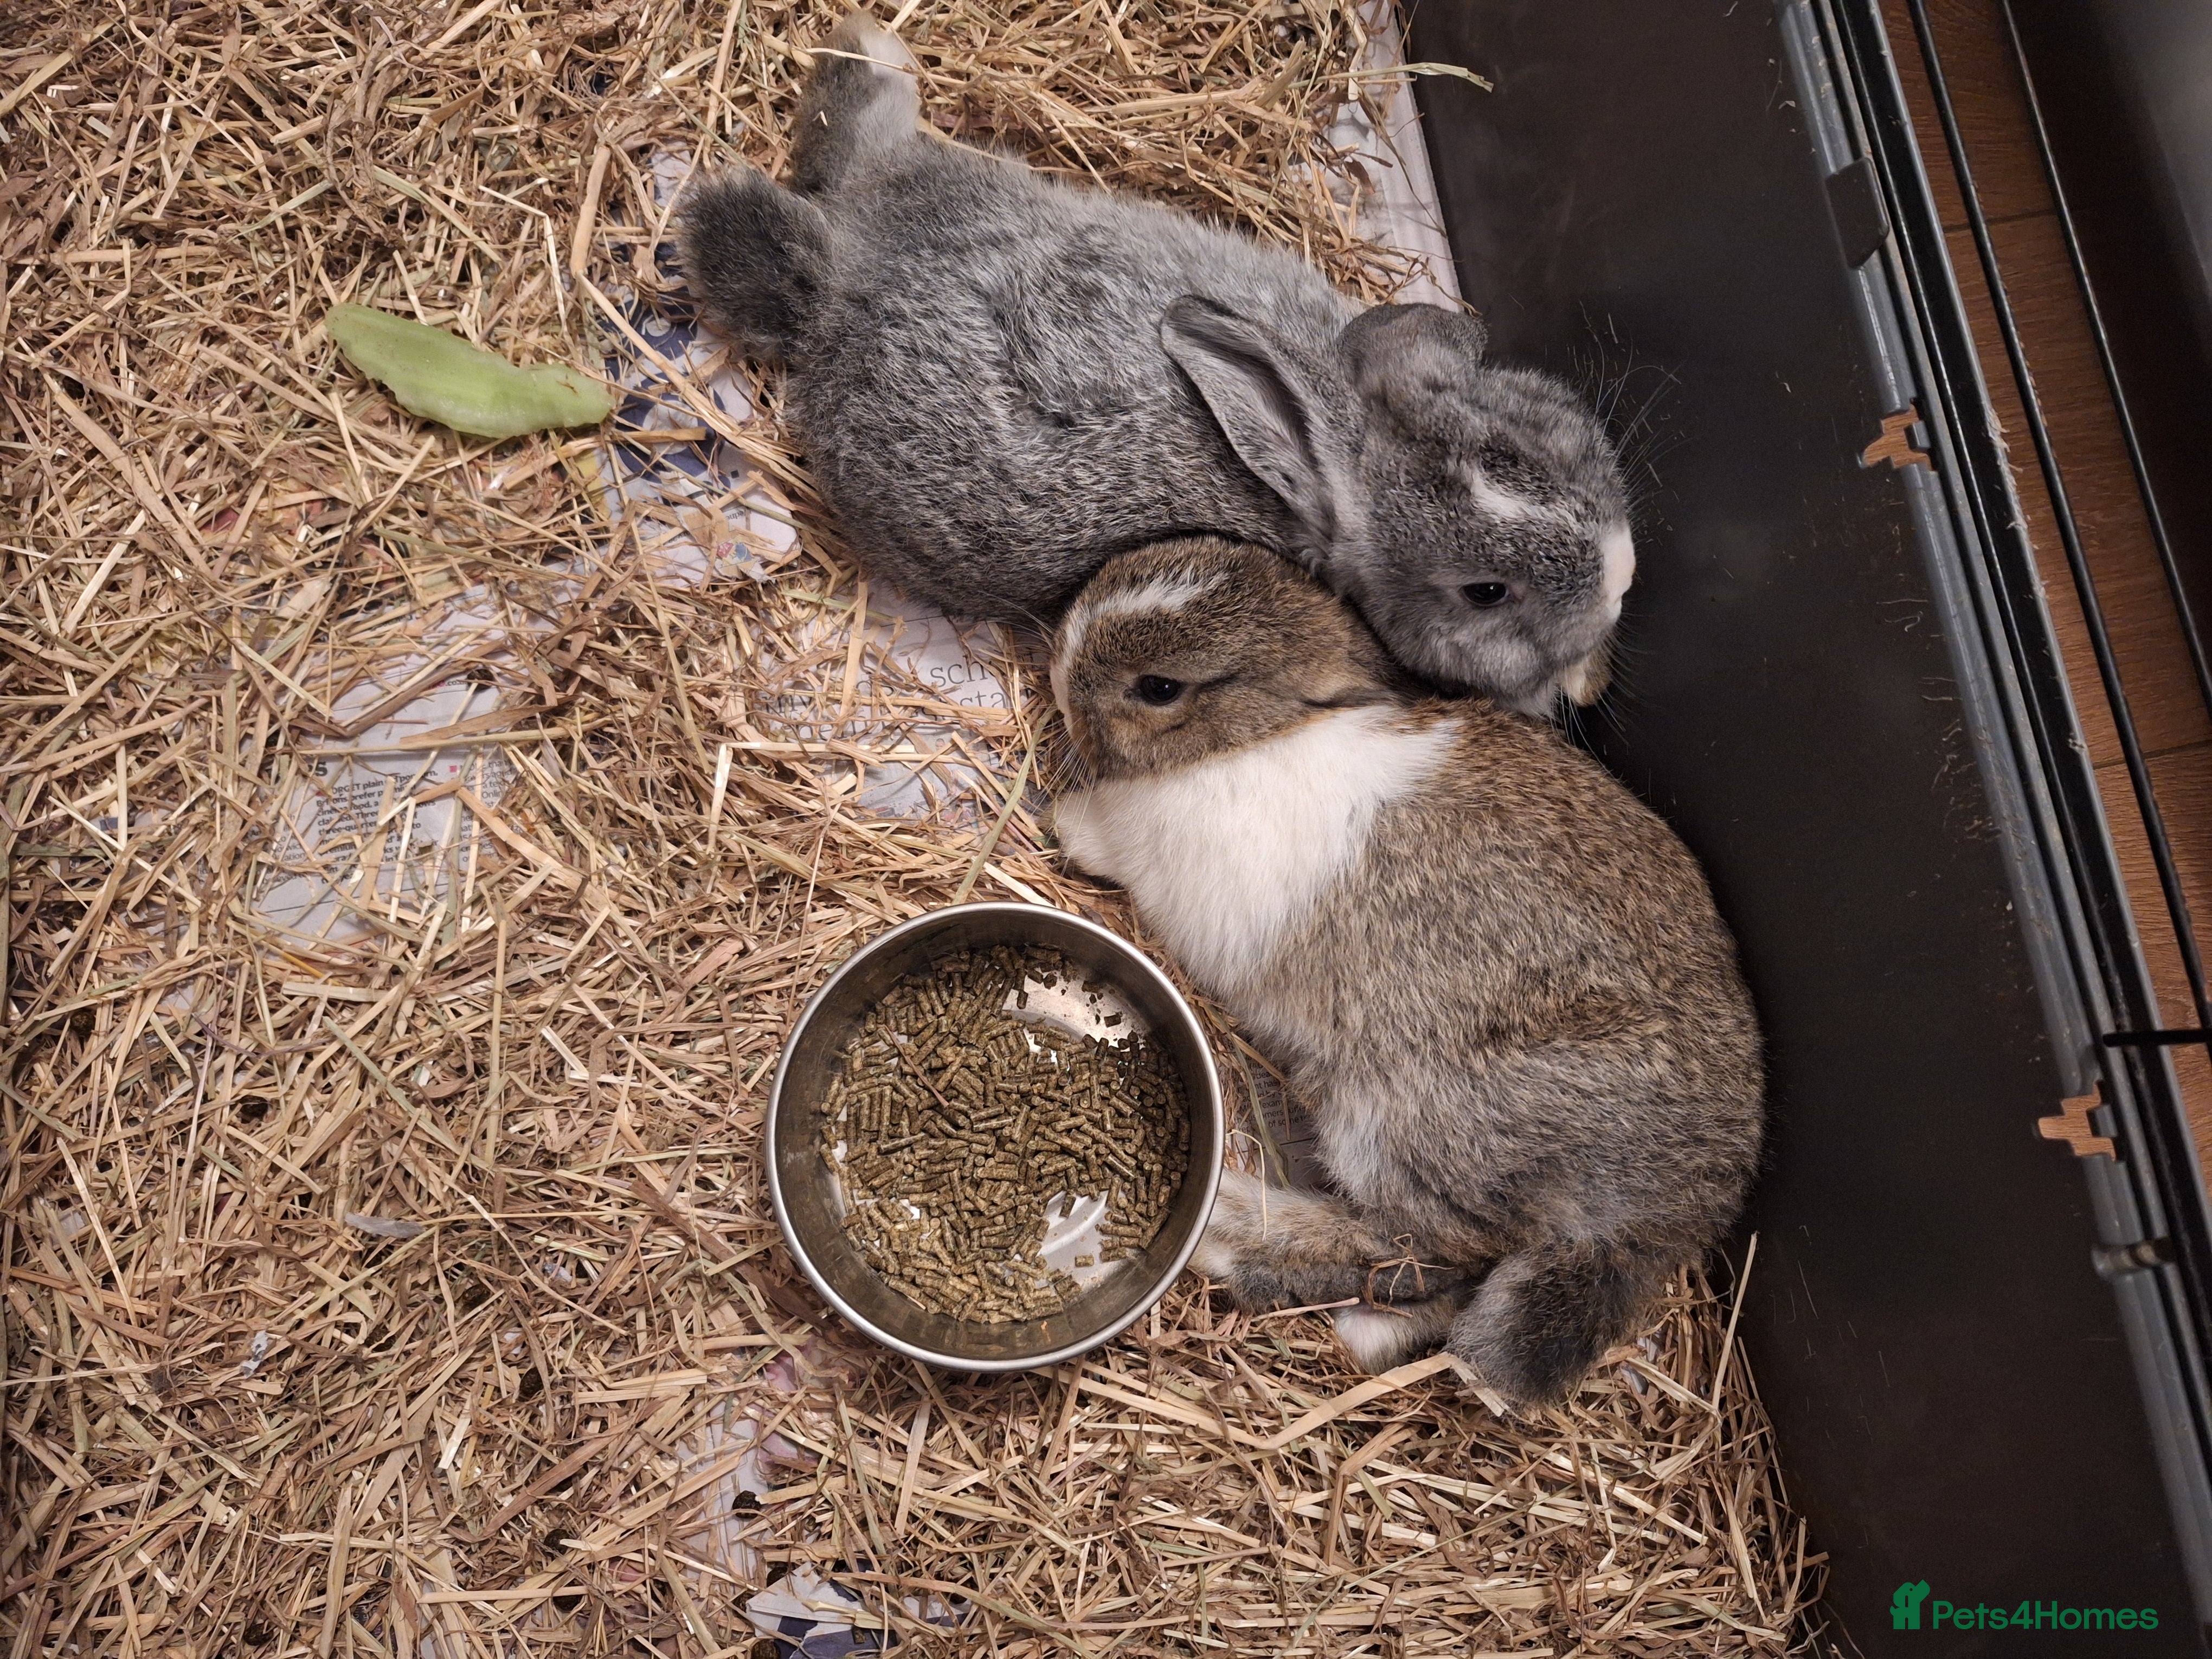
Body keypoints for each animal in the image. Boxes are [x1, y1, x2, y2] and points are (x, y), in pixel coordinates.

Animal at [679, 10, 1635, 716]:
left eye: (1529, 446)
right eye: (1486, 593)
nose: (1622, 580)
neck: (1333, 431)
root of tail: (840, 278)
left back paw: (870, 50)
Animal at [1048, 536, 1762, 1408]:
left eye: (1159, 688)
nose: (1060, 669)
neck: (1261, 734)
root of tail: (1675, 1208)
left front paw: (1063, 823)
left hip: (1399, 1123)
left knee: (1417, 1245)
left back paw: (1235, 1229)